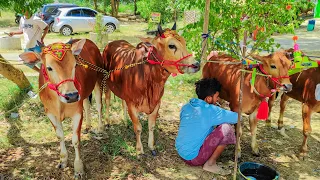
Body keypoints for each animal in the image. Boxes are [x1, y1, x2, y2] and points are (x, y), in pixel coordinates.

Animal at [19, 39, 104, 177]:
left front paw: (78, 168)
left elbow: (75, 140)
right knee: (87, 104)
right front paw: (63, 160)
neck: (60, 103)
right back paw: (87, 126)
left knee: (99, 106)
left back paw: (100, 128)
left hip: (98, 81)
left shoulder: (77, 112)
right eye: (49, 67)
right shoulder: (50, 113)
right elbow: (60, 136)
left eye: (75, 65)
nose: (72, 96)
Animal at [101, 23, 200, 155]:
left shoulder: (157, 104)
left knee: (122, 103)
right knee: (107, 101)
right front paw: (139, 150)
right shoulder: (132, 105)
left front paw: (151, 146)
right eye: (171, 45)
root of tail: (111, 43)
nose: (196, 64)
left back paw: (126, 122)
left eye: (184, 42)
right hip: (106, 82)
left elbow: (151, 126)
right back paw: (107, 122)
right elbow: (138, 128)